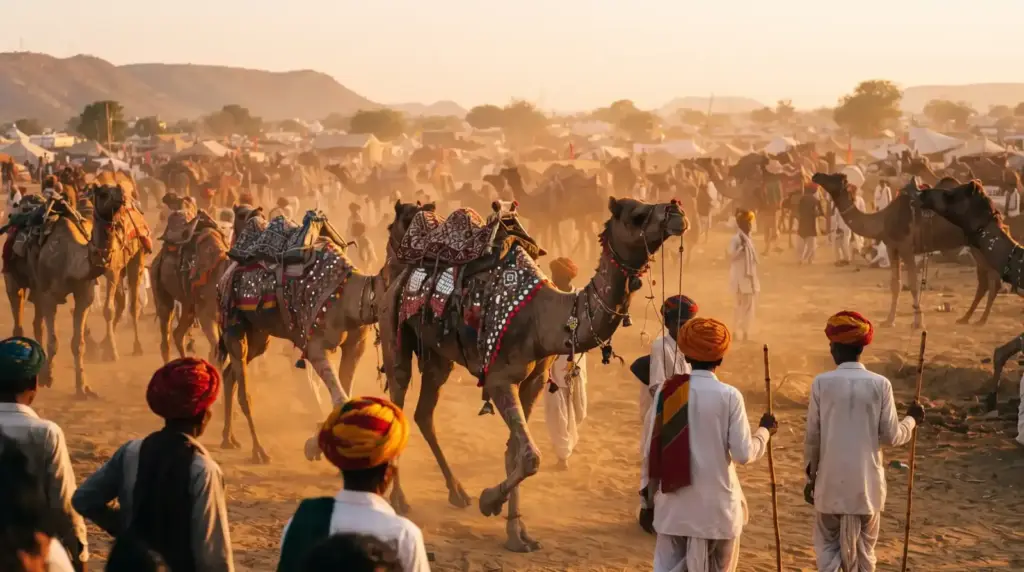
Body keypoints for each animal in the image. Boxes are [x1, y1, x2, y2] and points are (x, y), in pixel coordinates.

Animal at [379, 197, 686, 551]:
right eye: (636, 215)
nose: (677, 212)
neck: (542, 317)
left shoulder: (534, 381)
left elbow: (515, 453)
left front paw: (517, 532)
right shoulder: (500, 380)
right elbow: (530, 457)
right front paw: (489, 501)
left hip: (438, 356)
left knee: (424, 412)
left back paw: (457, 492)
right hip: (394, 333)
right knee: (398, 400)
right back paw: (400, 501)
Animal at [812, 173, 1006, 329]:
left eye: (834, 177)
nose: (816, 175)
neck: (883, 220)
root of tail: (994, 208)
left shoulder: (906, 248)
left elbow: (913, 284)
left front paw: (918, 322)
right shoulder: (892, 247)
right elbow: (895, 285)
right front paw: (889, 321)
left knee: (994, 279)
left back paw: (982, 319)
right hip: (975, 247)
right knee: (985, 280)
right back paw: (966, 318)